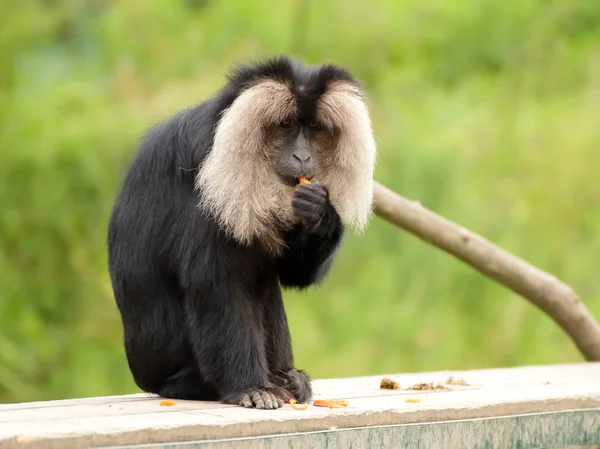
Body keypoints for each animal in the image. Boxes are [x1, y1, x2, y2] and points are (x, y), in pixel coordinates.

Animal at [103, 54, 376, 408]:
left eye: (314, 128)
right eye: (286, 125)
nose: (302, 156)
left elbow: (292, 274)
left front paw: (319, 212)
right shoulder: (206, 179)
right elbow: (215, 282)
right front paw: (252, 388)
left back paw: (289, 379)